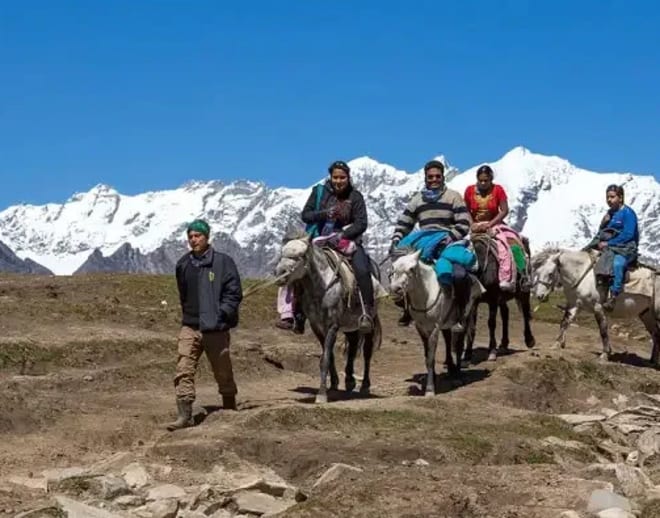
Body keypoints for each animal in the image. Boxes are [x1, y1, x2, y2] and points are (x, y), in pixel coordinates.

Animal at [386, 250, 484, 396]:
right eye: (393, 268)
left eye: (412, 268)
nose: (395, 289)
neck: (426, 295)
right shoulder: (421, 328)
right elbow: (427, 356)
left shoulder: (434, 329)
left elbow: (431, 358)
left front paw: (430, 389)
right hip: (446, 323)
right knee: (448, 341)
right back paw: (451, 369)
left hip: (466, 317)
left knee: (459, 345)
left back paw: (458, 376)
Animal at [532, 249, 660, 366]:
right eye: (537, 272)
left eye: (550, 273)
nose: (540, 296)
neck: (583, 276)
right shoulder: (575, 305)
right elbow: (564, 323)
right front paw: (557, 344)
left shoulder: (598, 308)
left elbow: (603, 330)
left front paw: (605, 354)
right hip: (646, 314)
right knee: (655, 334)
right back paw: (652, 361)